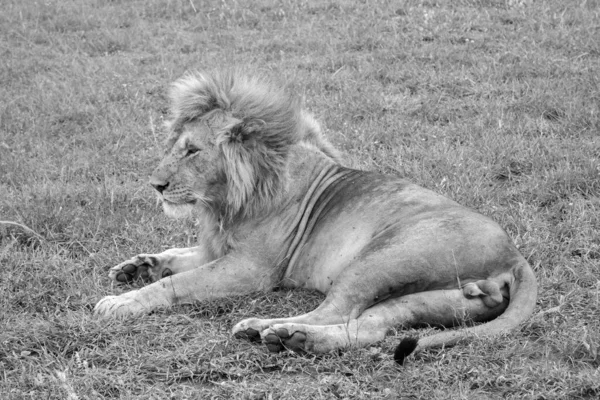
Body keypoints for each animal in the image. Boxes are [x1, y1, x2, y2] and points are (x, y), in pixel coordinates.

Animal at [95, 70, 540, 364]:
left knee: (336, 310)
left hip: (381, 258)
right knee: (371, 325)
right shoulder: (216, 248)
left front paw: (122, 302)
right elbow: (175, 255)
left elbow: (177, 284)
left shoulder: (252, 268)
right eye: (175, 146)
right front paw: (136, 267)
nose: (155, 185)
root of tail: (515, 255)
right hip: (430, 298)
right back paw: (291, 338)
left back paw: (270, 330)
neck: (225, 202)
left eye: (192, 151)